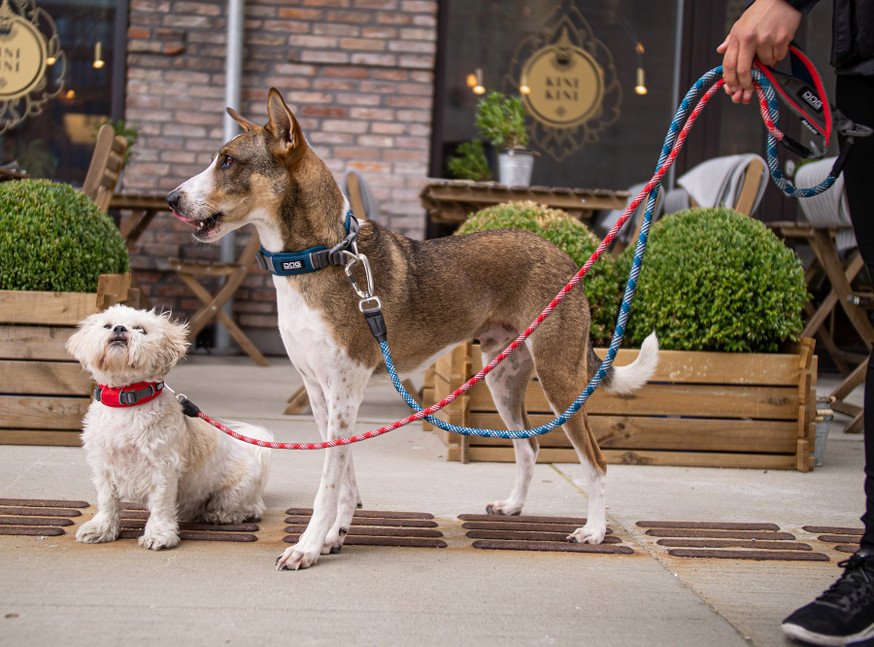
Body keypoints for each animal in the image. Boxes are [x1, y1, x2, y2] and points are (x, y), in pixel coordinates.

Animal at [67, 306, 272, 548]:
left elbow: (161, 504)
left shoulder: (162, 467)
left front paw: (159, 534)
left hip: (235, 490)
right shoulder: (103, 466)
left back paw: (221, 515)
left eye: (141, 330)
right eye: (107, 325)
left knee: (249, 508)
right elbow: (107, 501)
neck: (126, 401)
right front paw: (101, 528)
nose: (119, 328)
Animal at [165, 88, 656, 568]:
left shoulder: (344, 391)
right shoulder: (321, 394)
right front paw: (334, 535)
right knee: (527, 446)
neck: (324, 257)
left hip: (560, 379)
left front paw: (308, 546)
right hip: (501, 376)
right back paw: (514, 506)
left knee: (595, 462)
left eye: (229, 161)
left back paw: (594, 530)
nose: (171, 199)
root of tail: (564, 256)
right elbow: (344, 474)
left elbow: (328, 482)